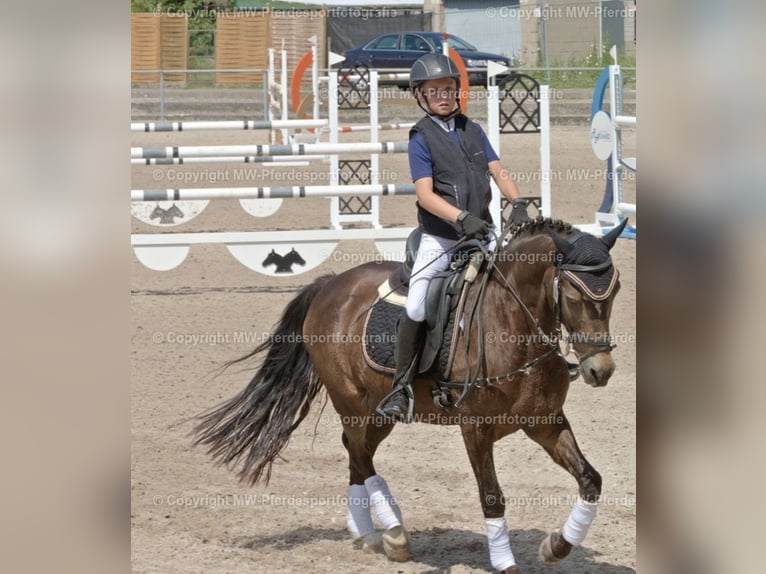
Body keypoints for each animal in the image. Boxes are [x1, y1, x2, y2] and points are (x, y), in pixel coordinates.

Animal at [194, 218, 632, 572]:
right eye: (573, 297)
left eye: (615, 292)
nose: (600, 370)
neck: (512, 324)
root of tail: (329, 284)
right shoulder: (475, 429)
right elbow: (492, 497)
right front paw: (506, 564)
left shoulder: (544, 422)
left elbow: (590, 479)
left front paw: (556, 547)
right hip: (351, 401)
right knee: (360, 455)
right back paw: (393, 535)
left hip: (378, 412)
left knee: (357, 453)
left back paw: (368, 534)